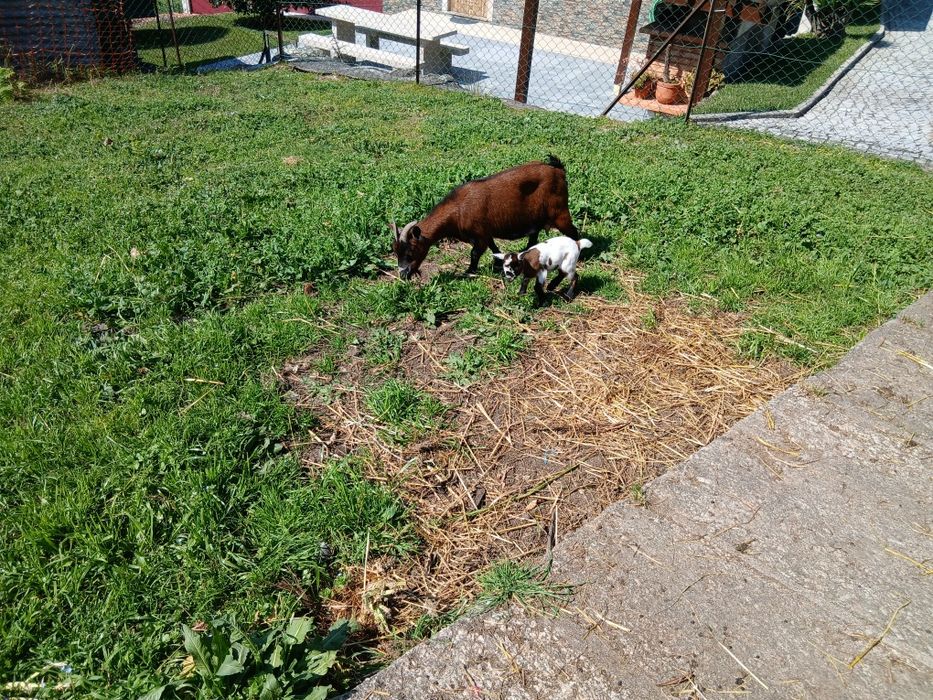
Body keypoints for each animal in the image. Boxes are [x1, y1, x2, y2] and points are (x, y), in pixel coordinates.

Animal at [391, 156, 579, 280]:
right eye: (395, 251)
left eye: (411, 252)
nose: (403, 275)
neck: (458, 210)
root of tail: (558, 169)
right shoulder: (485, 233)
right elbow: (493, 247)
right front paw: (498, 264)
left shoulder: (479, 234)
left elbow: (474, 253)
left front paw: (469, 272)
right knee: (534, 234)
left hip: (560, 212)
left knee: (573, 232)